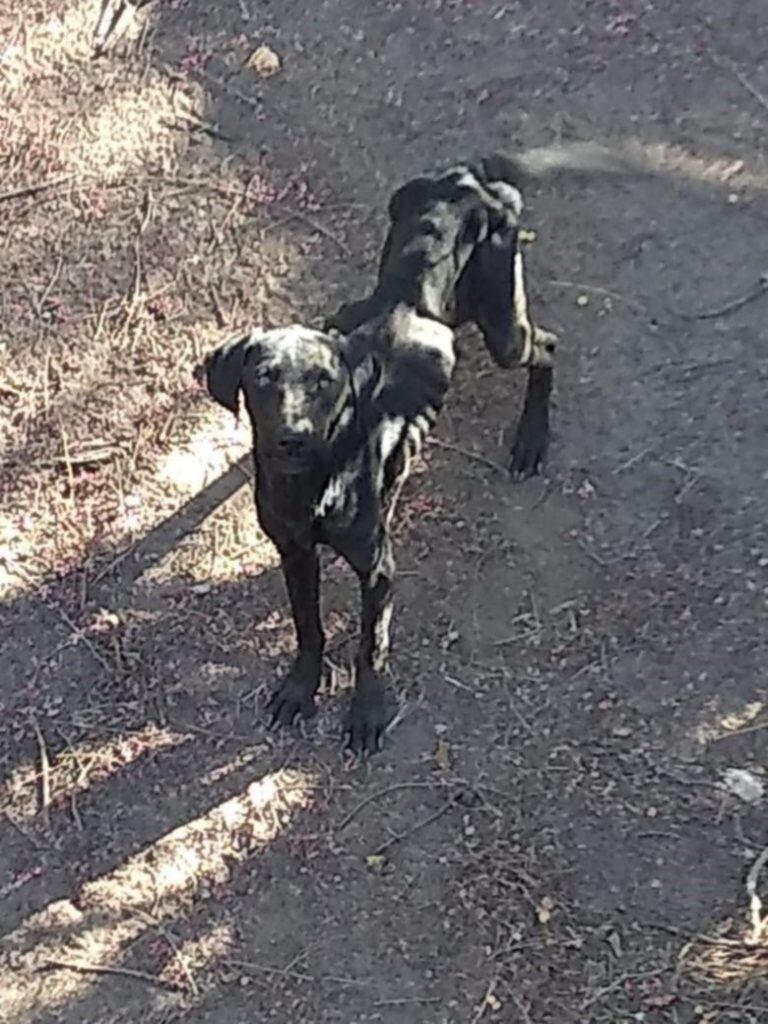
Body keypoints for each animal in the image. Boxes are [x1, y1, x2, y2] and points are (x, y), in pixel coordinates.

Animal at [199, 142, 638, 753]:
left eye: (324, 383)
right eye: (263, 378)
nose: (293, 438)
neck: (312, 485)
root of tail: (464, 179)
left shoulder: (378, 570)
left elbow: (370, 647)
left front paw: (366, 711)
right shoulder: (294, 553)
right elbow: (308, 627)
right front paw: (301, 687)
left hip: (505, 327)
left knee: (547, 348)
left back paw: (531, 440)